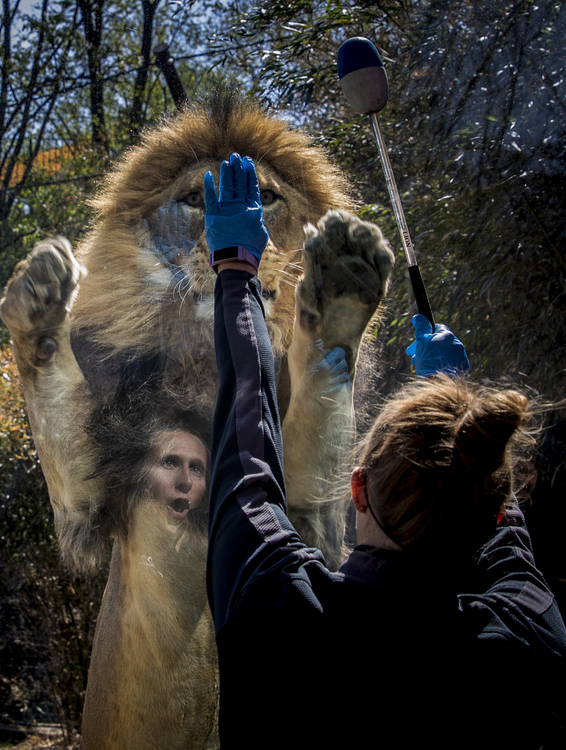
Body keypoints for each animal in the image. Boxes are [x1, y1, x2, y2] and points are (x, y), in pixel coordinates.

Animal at [0, 91, 394, 748]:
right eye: (192, 198)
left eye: (266, 196)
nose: (223, 241)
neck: (206, 365)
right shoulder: (87, 509)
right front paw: (40, 300)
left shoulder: (316, 520)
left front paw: (340, 287)